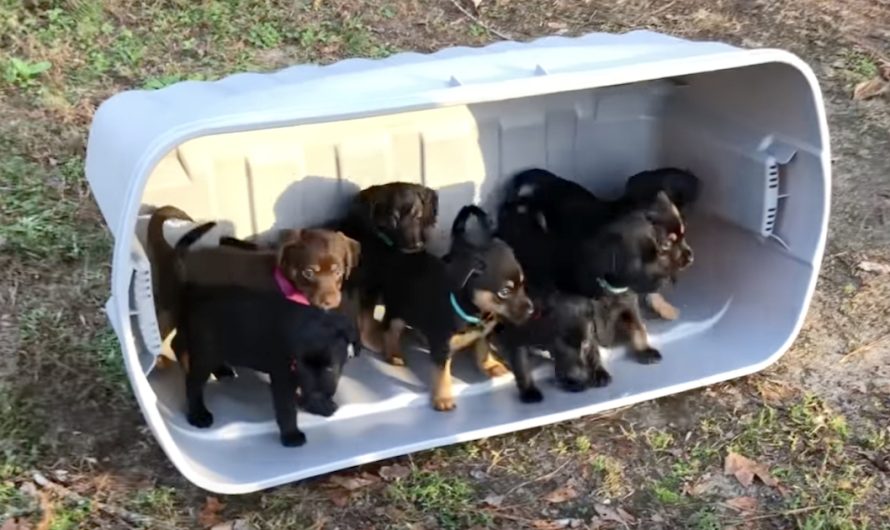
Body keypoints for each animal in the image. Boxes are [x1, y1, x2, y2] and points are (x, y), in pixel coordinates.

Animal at [172, 284, 356, 446]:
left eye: (330, 368)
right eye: (302, 366)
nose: (317, 395)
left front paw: (320, 405)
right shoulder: (283, 377)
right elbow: (287, 408)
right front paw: (291, 435)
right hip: (207, 351)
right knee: (193, 383)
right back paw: (198, 415)